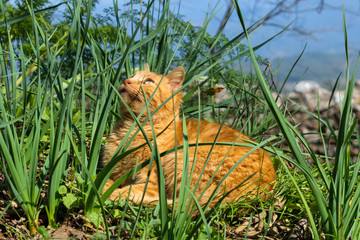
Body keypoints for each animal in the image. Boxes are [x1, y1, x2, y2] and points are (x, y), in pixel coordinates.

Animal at [101, 64, 276, 207]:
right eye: (132, 76)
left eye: (148, 82)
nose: (126, 81)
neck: (132, 129)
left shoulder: (152, 183)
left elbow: (128, 190)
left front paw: (105, 189)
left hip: (180, 161)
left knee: (181, 203)